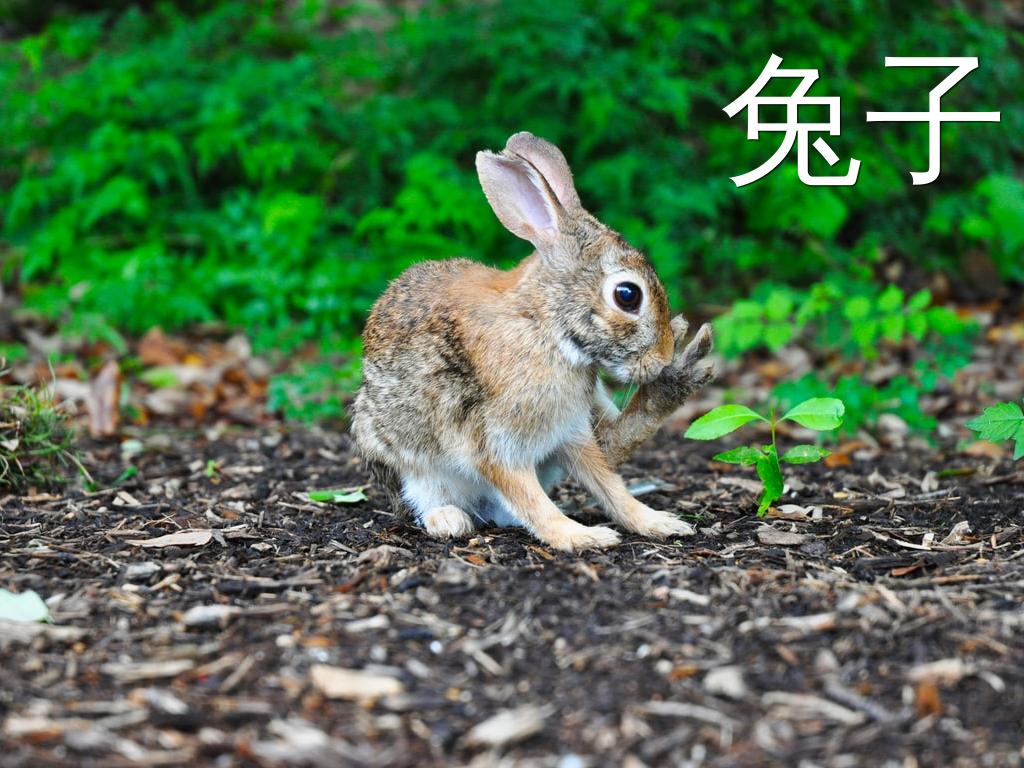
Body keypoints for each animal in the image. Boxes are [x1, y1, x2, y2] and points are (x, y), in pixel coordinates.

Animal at [351, 131, 714, 552]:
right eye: (627, 295)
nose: (661, 358)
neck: (546, 327)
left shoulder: (571, 431)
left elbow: (609, 485)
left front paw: (656, 523)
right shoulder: (495, 443)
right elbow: (531, 499)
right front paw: (580, 536)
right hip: (406, 461)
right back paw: (448, 519)